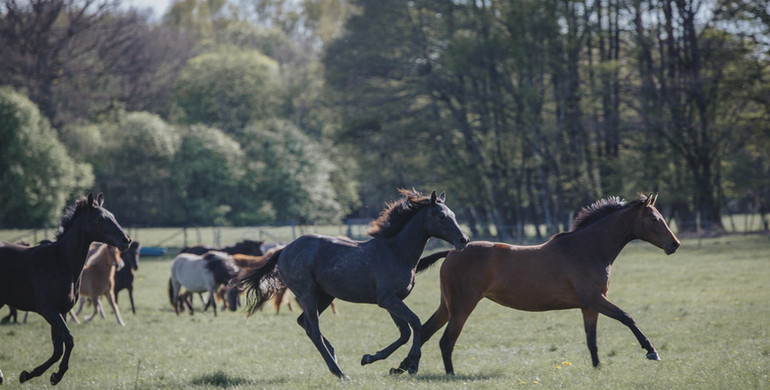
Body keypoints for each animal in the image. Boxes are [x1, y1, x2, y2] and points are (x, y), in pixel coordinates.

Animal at [0, 193, 130, 386]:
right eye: (100, 218)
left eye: (112, 216)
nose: (126, 240)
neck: (61, 262)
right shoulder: (49, 311)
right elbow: (69, 340)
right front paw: (56, 374)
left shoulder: (62, 311)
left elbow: (58, 349)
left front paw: (31, 374)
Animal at [231, 189, 468, 378]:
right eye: (440, 216)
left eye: (454, 215)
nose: (463, 240)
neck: (396, 252)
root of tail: (285, 248)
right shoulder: (388, 300)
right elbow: (416, 323)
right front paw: (411, 366)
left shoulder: (392, 301)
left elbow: (404, 333)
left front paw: (370, 358)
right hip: (307, 294)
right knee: (313, 329)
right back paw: (339, 372)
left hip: (325, 296)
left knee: (305, 324)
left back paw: (334, 357)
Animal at [392, 193, 680, 376]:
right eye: (654, 219)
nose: (674, 244)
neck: (586, 249)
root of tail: (452, 251)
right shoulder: (595, 299)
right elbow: (627, 317)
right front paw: (651, 351)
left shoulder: (589, 306)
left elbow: (592, 340)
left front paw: (597, 368)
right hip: (463, 307)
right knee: (446, 341)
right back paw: (448, 375)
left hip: (448, 305)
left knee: (427, 331)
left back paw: (402, 368)